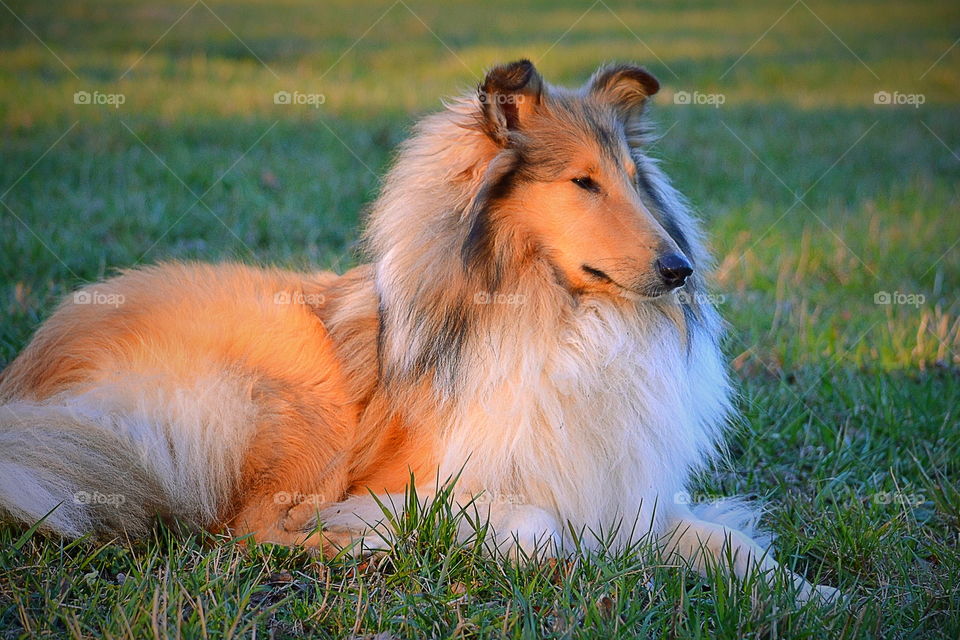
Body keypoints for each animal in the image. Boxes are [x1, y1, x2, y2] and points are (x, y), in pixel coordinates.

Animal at [0, 58, 840, 600]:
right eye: (583, 183)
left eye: (637, 184)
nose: (679, 270)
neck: (557, 318)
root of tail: (31, 367)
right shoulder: (430, 482)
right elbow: (535, 526)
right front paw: (519, 553)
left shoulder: (624, 492)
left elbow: (730, 544)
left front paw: (813, 595)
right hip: (283, 396)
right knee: (244, 530)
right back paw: (364, 549)